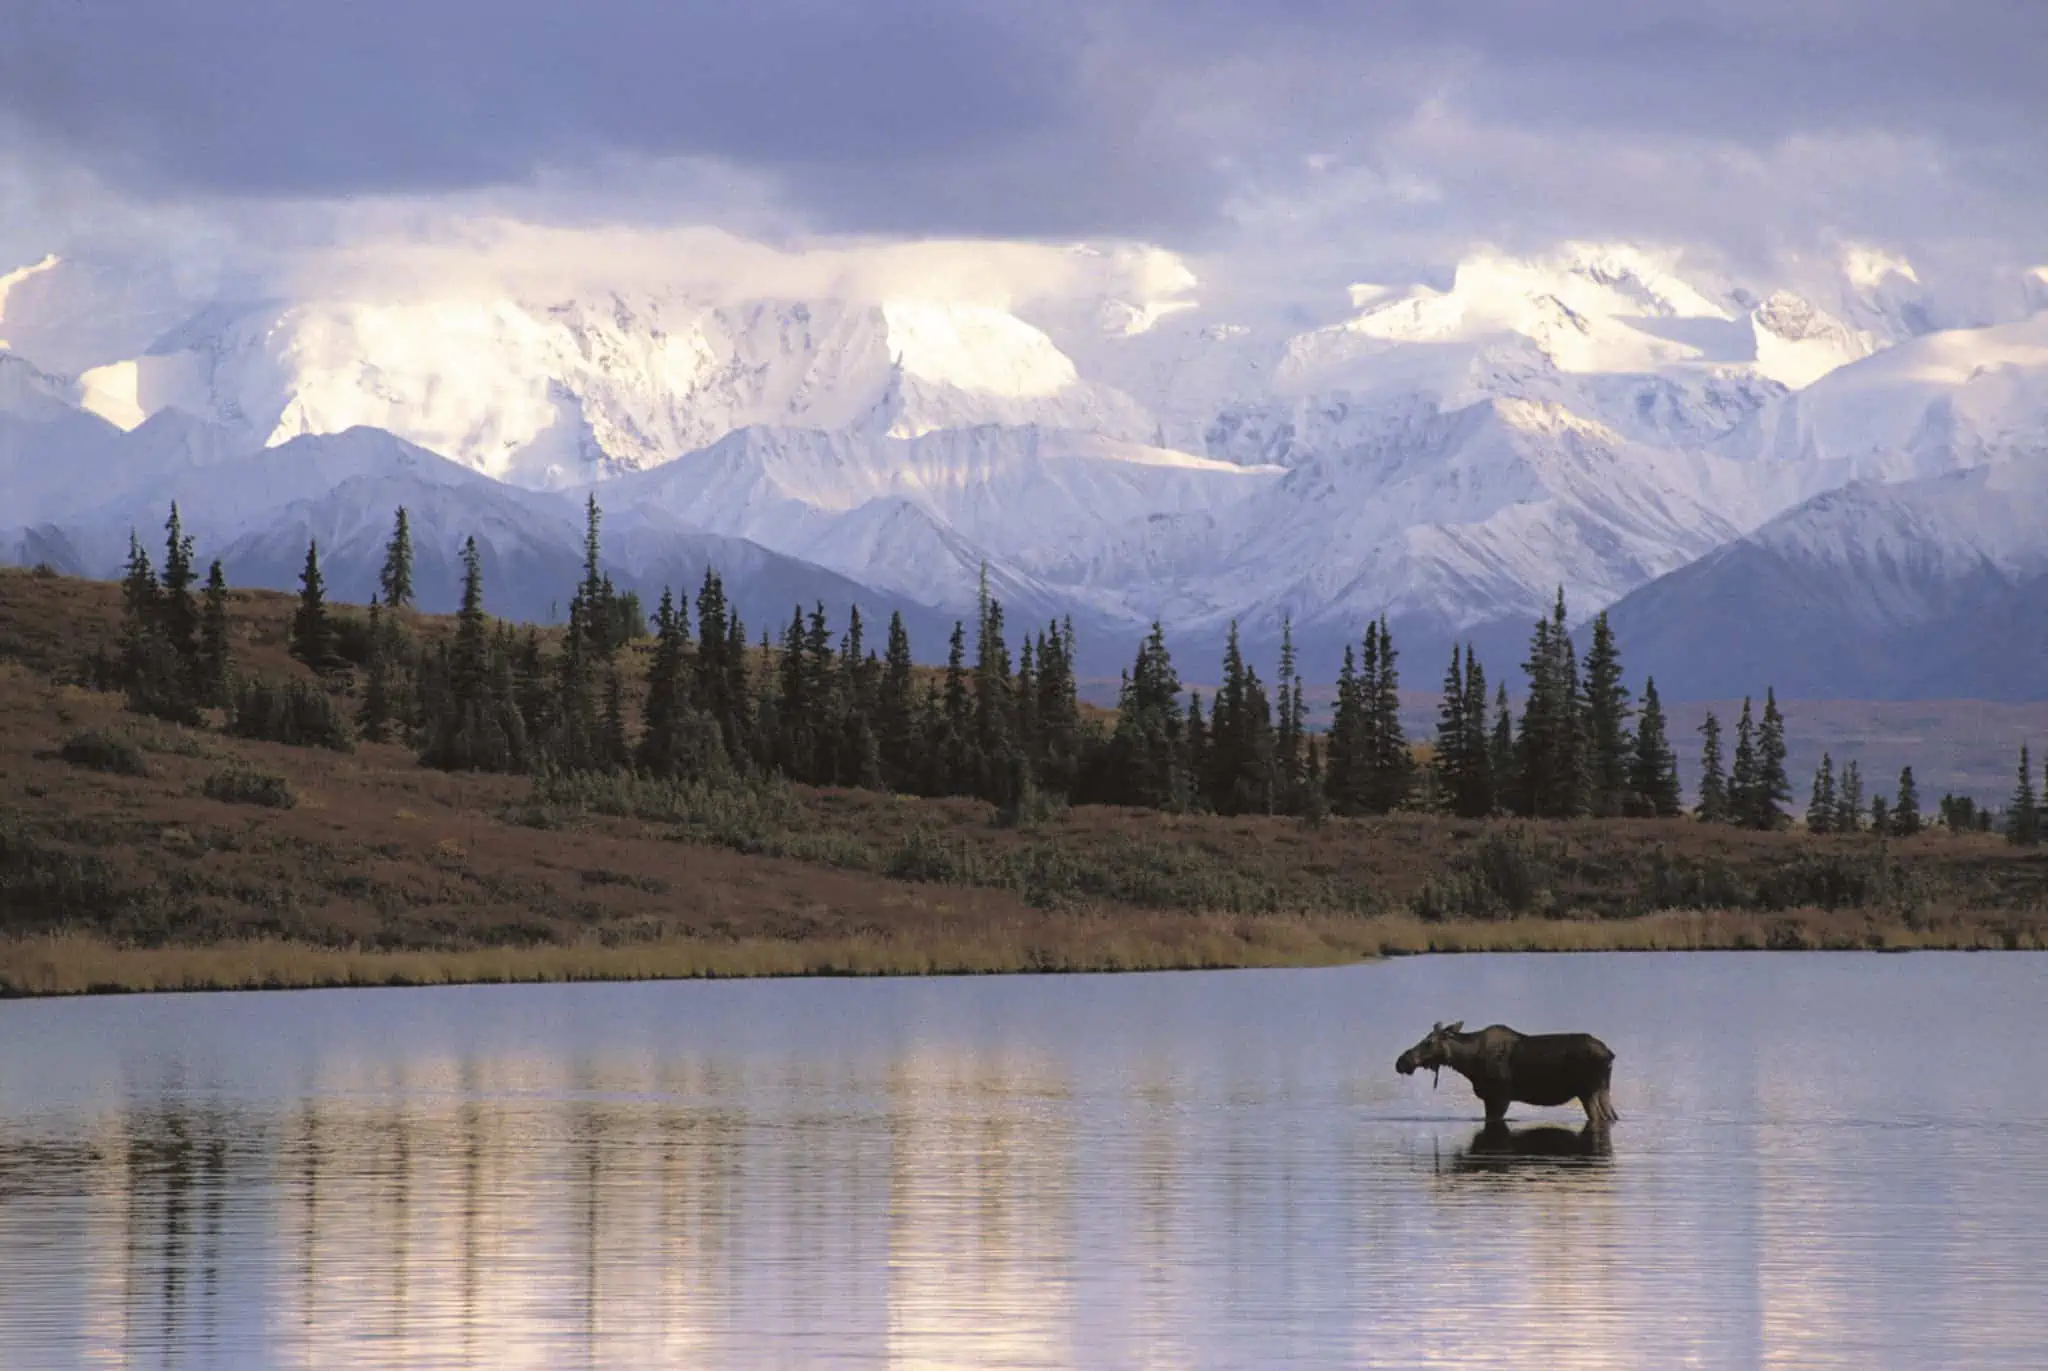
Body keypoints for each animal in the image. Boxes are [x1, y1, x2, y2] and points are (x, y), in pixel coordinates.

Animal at [1392, 1016, 1613, 1123]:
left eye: (1429, 1041)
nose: (1401, 1061)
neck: (1468, 1062)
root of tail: (1610, 1054)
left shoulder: (1499, 1097)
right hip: (1602, 1091)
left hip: (1587, 1092)